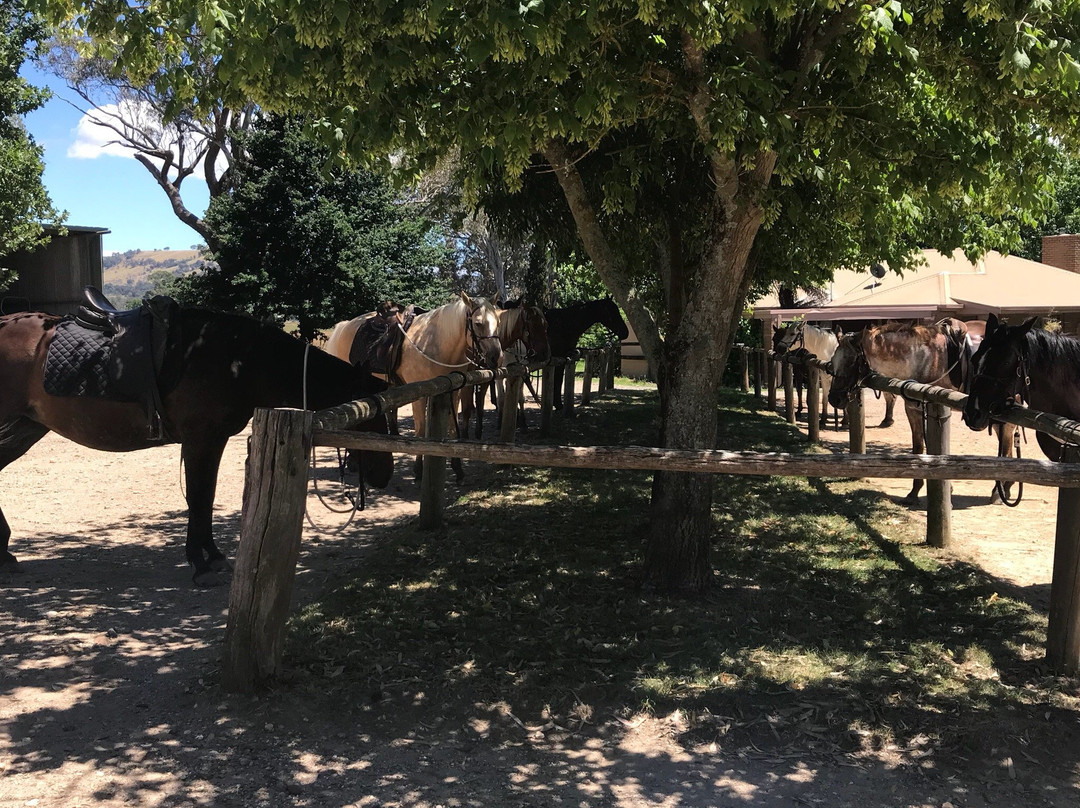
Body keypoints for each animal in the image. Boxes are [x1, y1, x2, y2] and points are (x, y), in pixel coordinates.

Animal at [0, 298, 393, 586]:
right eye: (370, 419)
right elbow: (200, 497)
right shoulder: (200, 441)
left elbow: (206, 497)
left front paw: (213, 557)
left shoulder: (213, 441)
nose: (384, 476)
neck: (236, 360)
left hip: (25, 428)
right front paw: (201, 564)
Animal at [325, 292, 503, 482]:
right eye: (478, 323)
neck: (437, 342)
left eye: (498, 322)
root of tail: (343, 326)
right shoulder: (420, 394)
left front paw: (458, 468)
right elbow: (421, 430)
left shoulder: (453, 392)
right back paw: (353, 462)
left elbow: (452, 429)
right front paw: (418, 470)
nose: (496, 357)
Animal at [459, 298, 551, 438]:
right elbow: (496, 400)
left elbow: (483, 401)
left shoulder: (504, 374)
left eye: (545, 325)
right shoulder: (491, 376)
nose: (545, 354)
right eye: (534, 326)